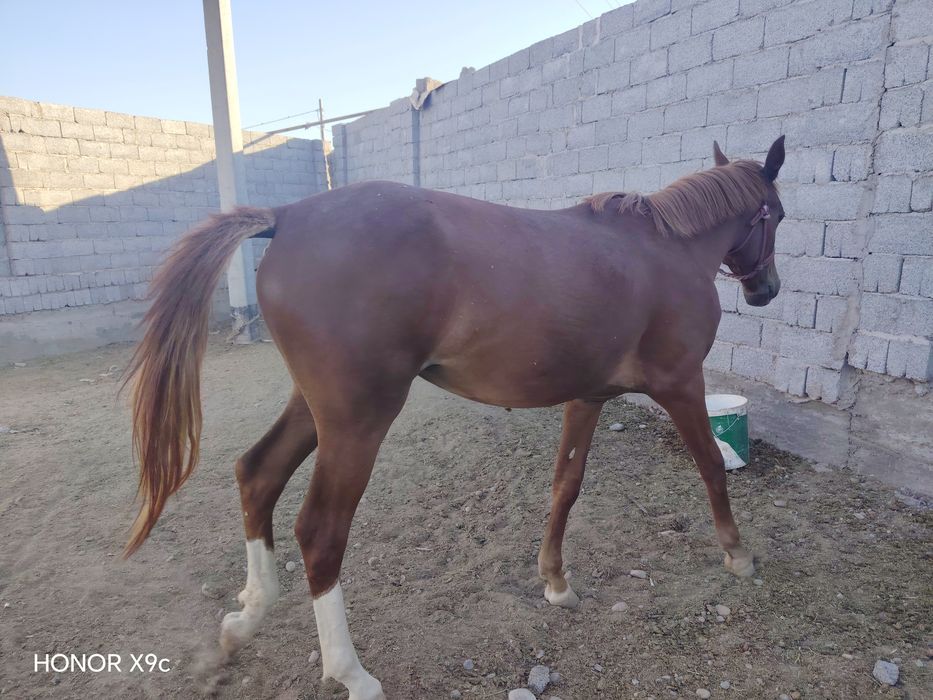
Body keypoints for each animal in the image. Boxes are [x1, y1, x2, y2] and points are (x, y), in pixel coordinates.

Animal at [124, 136, 786, 699]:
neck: (663, 251)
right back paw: (351, 672)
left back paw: (246, 618)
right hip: (358, 420)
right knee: (319, 530)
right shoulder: (681, 385)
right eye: (775, 214)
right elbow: (711, 466)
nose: (768, 290)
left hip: (315, 409)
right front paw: (737, 553)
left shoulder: (588, 398)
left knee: (257, 475)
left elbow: (565, 486)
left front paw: (556, 584)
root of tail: (287, 214)